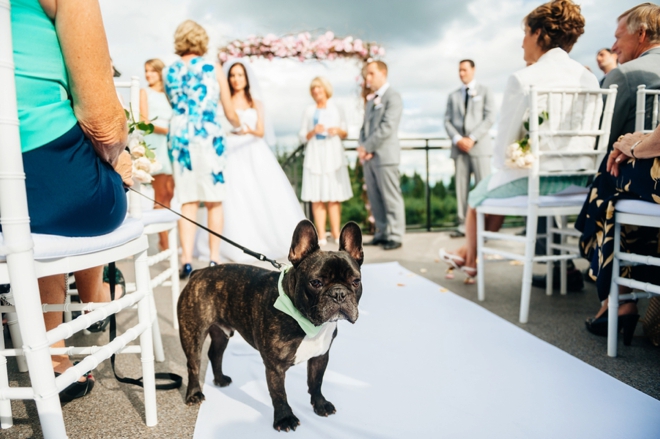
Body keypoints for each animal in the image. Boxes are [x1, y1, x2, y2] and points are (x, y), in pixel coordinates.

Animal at [178, 222, 364, 432]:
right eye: (316, 282)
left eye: (356, 281)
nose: (339, 293)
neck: (307, 322)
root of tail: (198, 273)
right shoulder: (275, 366)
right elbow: (279, 393)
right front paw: (285, 418)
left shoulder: (320, 356)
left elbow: (316, 382)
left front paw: (320, 404)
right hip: (193, 332)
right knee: (194, 363)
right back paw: (194, 394)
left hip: (221, 333)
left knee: (215, 354)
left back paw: (220, 380)